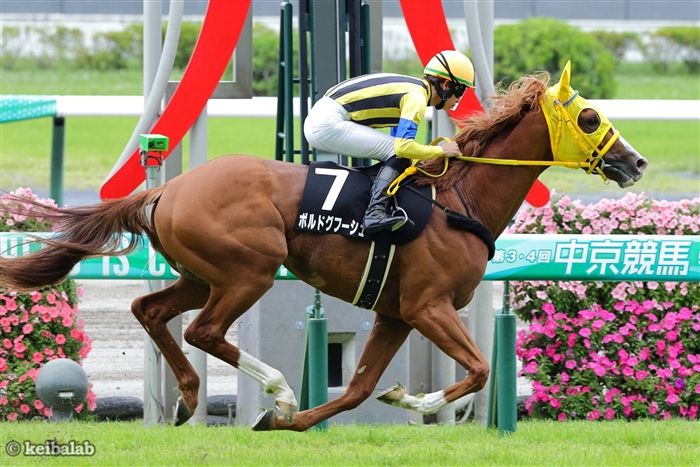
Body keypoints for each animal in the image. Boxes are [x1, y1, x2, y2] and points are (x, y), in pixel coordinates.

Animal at [0, 62, 647, 431]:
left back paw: (189, 399)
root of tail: (167, 189)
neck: (457, 201)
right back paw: (277, 388)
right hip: (248, 271)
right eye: (590, 117)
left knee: (149, 310)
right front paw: (410, 402)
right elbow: (481, 369)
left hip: (202, 273)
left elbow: (357, 389)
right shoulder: (428, 306)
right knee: (203, 330)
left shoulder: (396, 312)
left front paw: (301, 420)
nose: (635, 162)